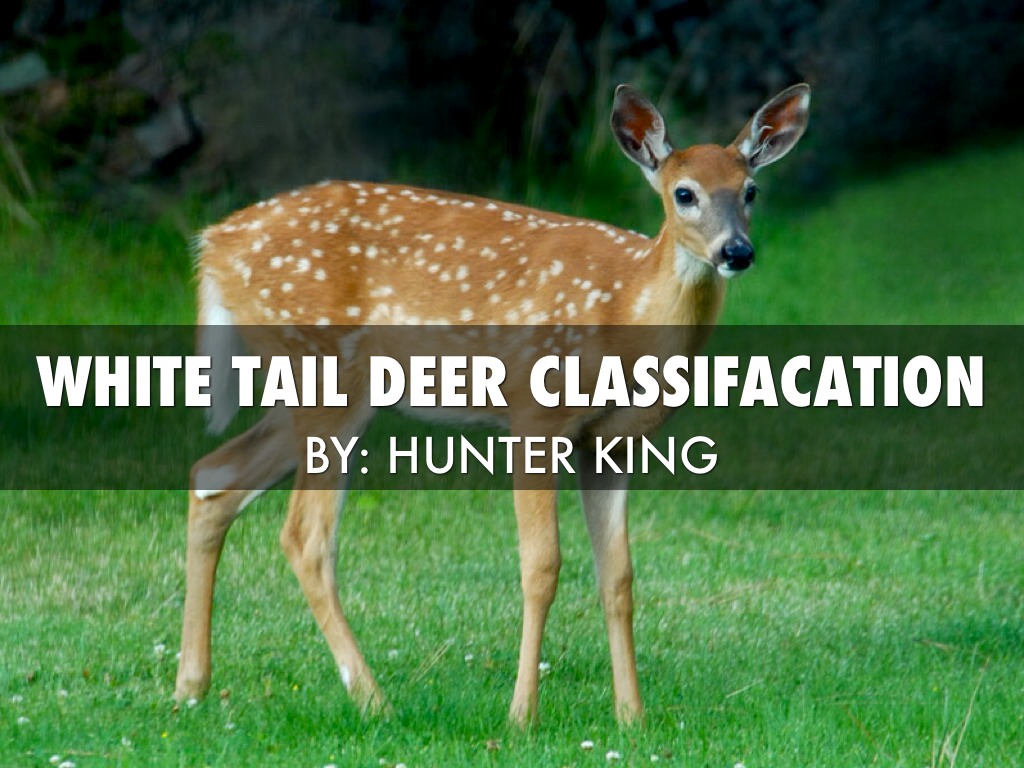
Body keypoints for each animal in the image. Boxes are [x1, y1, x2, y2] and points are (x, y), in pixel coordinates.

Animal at [174, 82, 810, 725]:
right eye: (684, 193)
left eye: (751, 190)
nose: (736, 251)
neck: (625, 307)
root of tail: (211, 246)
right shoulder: (536, 414)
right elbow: (542, 566)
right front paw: (522, 714)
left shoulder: (611, 441)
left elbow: (619, 576)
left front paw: (632, 716)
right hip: (327, 372)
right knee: (304, 535)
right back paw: (375, 700)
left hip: (310, 387)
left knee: (213, 475)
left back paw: (191, 686)